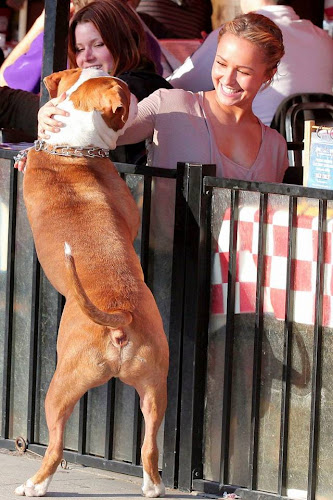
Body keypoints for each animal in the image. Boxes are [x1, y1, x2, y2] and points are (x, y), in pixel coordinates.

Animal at [14, 68, 169, 498]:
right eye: (129, 90)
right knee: (149, 446)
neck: (72, 146)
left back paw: (34, 485)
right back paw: (152, 486)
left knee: (54, 447)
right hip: (155, 389)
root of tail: (119, 317)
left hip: (58, 390)